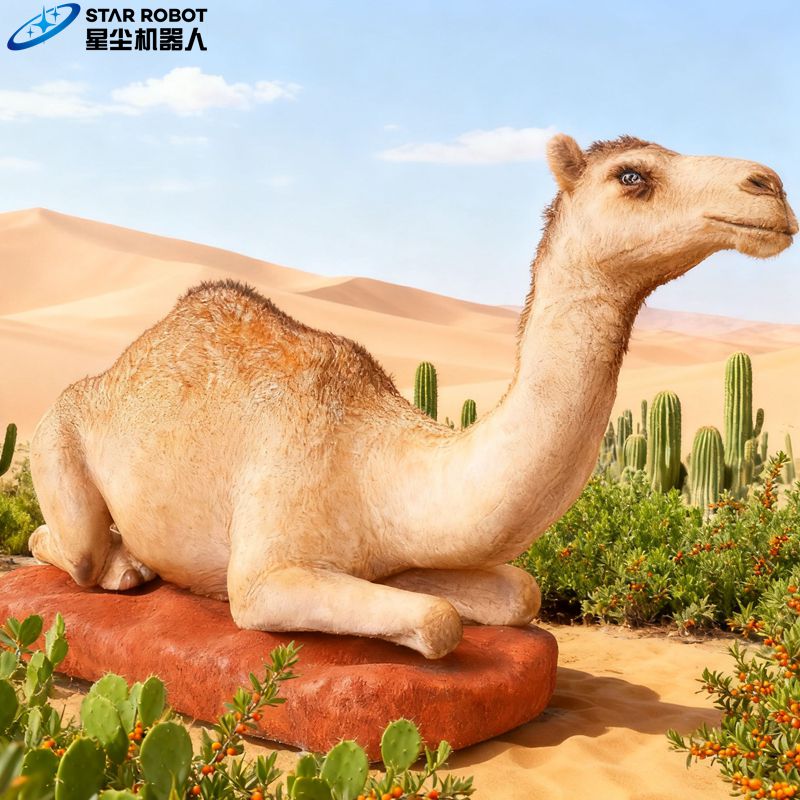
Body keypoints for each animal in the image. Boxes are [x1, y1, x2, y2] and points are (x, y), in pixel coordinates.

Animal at [29, 134, 797, 658]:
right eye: (632, 175)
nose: (770, 185)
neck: (376, 461)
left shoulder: (404, 550)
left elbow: (519, 593)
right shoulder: (265, 573)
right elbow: (438, 620)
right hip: (52, 437)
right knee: (72, 548)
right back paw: (126, 568)